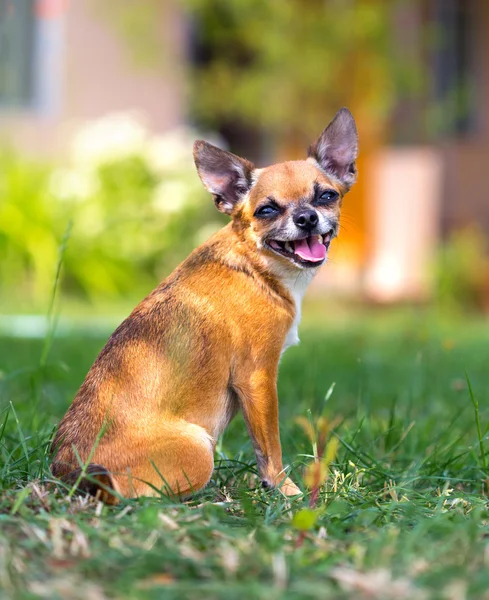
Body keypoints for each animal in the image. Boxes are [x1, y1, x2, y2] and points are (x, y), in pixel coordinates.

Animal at [51, 108, 356, 502]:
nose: (306, 218)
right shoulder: (258, 379)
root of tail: (67, 472)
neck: (257, 268)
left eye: (326, 196)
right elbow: (269, 447)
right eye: (267, 210)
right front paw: (285, 490)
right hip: (199, 448)